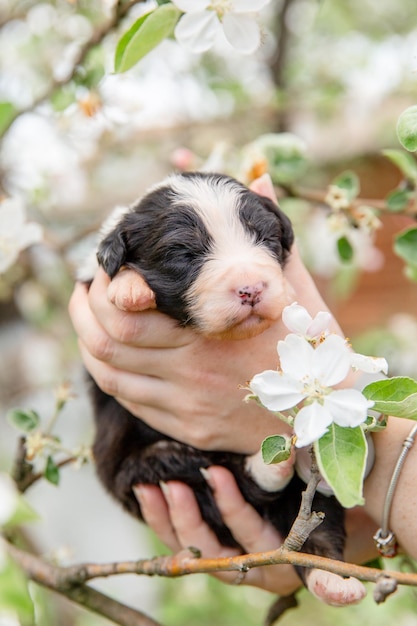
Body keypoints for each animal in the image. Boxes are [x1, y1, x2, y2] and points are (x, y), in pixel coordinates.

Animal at [80, 172, 364, 620]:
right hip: (136, 472)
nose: (250, 289)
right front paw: (129, 288)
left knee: (317, 529)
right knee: (208, 474)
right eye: (183, 254)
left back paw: (334, 578)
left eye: (265, 238)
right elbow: (109, 272)